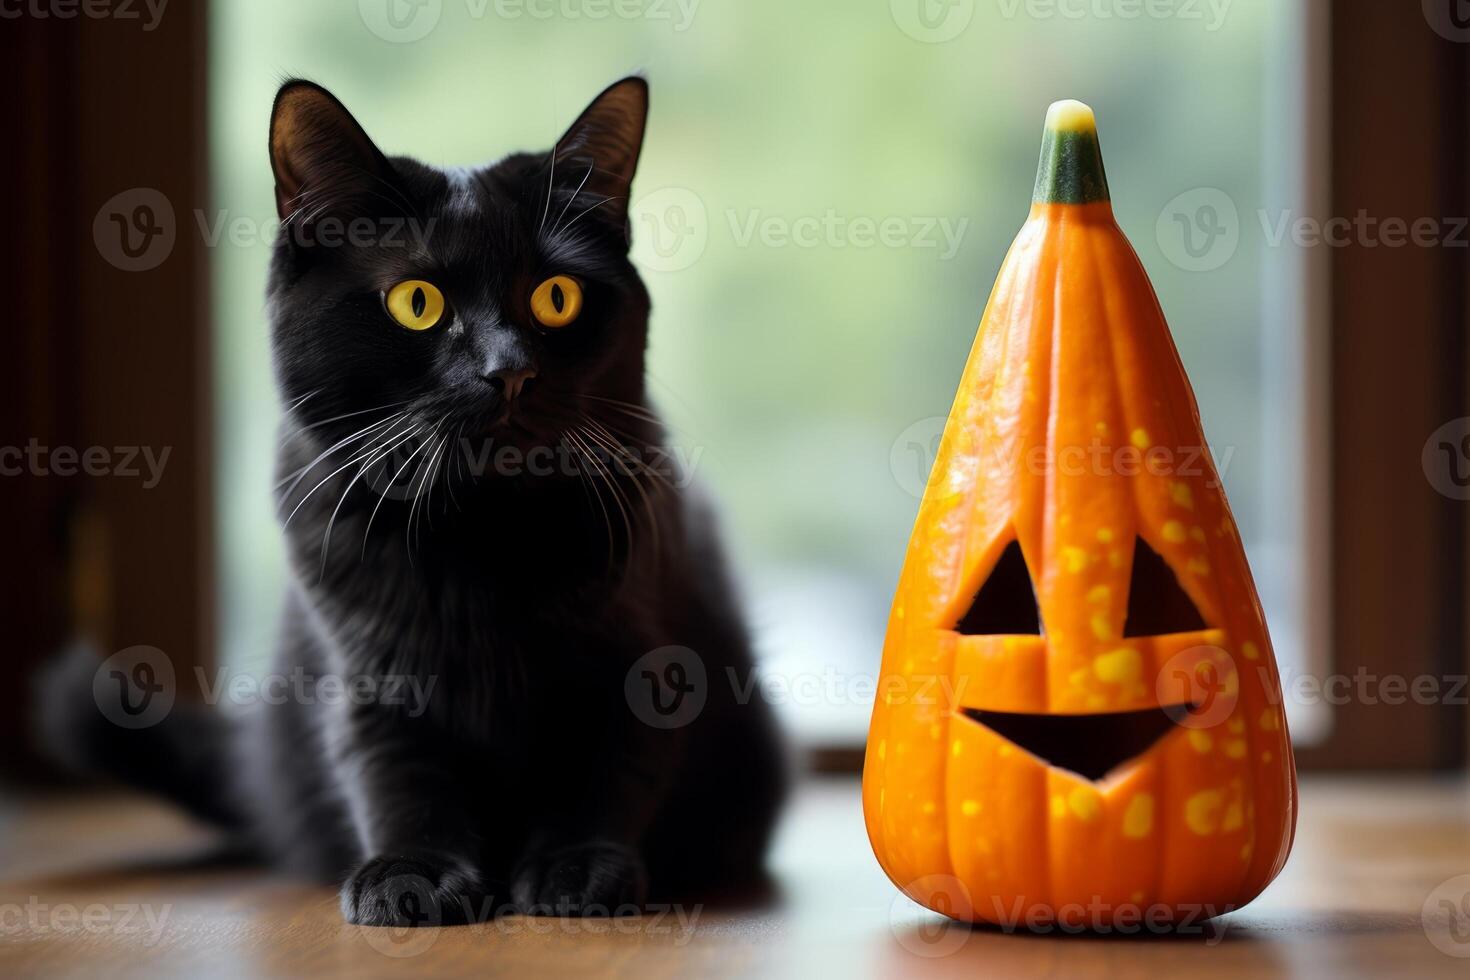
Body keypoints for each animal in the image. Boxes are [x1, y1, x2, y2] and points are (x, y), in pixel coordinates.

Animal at [42, 76, 782, 928]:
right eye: (417, 302)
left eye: (557, 297)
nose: (510, 370)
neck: (479, 533)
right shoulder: (368, 673)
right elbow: (395, 771)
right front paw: (415, 875)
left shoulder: (640, 662)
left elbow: (609, 770)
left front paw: (576, 869)